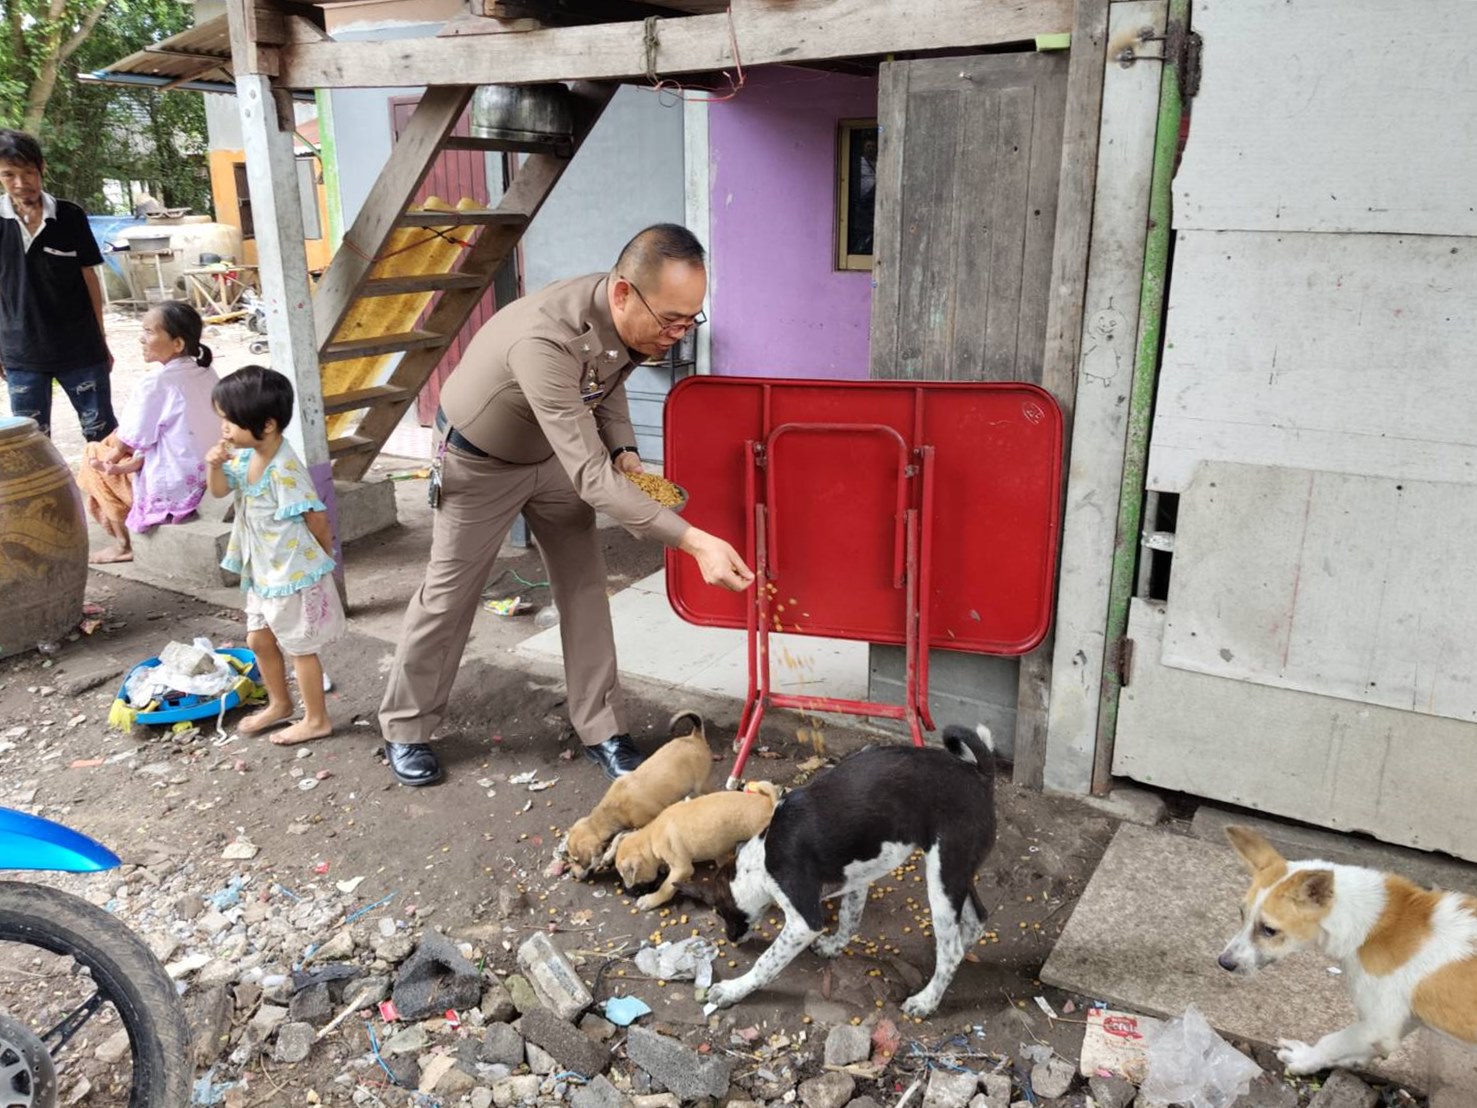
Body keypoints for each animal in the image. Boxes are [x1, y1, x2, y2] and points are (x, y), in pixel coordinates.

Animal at [561, 715, 711, 880]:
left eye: (577, 860)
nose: (573, 875)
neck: (610, 812)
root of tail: (695, 736)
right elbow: (618, 837)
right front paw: (609, 855)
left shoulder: (644, 823)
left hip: (701, 785)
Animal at [614, 780, 785, 910]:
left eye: (626, 876)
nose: (625, 889)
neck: (650, 836)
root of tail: (770, 804)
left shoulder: (682, 868)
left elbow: (666, 887)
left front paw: (650, 900)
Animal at [700, 723, 998, 1022]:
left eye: (719, 910)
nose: (730, 938)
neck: (762, 856)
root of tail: (980, 774)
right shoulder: (856, 877)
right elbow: (849, 917)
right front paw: (834, 947)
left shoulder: (803, 921)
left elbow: (766, 962)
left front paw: (734, 990)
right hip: (956, 872)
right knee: (976, 919)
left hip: (943, 878)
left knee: (951, 951)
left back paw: (927, 1000)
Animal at [1222, 827, 1477, 1075]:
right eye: (1241, 913)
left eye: (1269, 930)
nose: (1223, 962)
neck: (1369, 926)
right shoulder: (1404, 1019)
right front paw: (1347, 1061)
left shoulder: (1379, 1025)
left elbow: (1333, 1041)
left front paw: (1305, 1059)